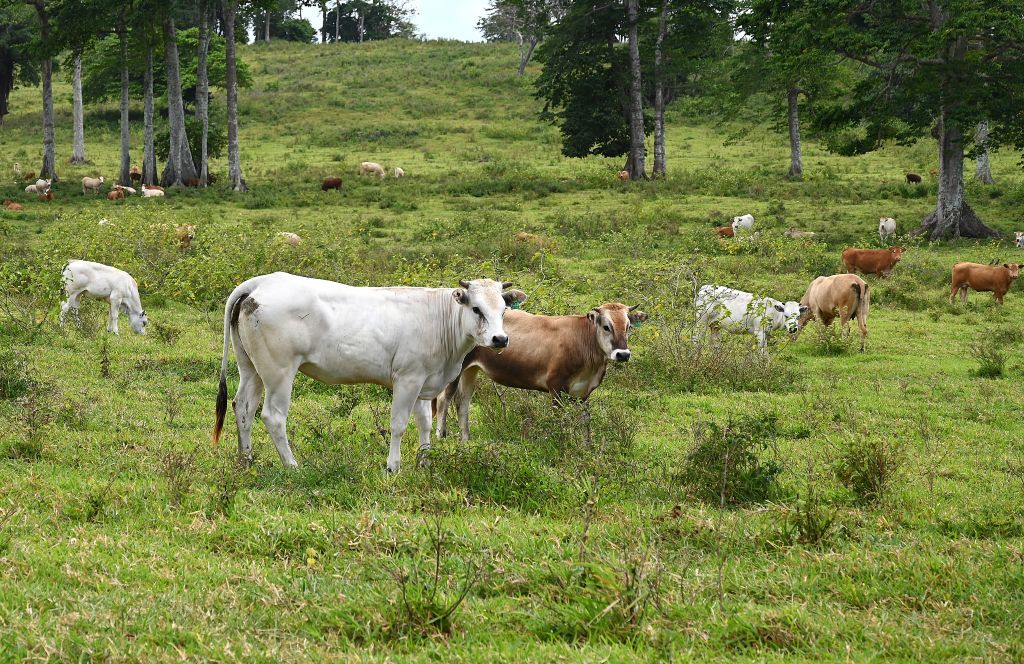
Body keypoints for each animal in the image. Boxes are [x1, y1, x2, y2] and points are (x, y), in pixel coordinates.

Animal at [212, 274, 526, 472]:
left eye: (504, 309)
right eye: (477, 308)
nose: (500, 339)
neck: (438, 320)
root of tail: (262, 281)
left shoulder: (424, 383)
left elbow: (425, 423)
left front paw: (424, 461)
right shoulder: (407, 380)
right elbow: (398, 425)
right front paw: (393, 466)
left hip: (250, 368)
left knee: (244, 408)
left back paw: (246, 459)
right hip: (279, 372)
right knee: (272, 416)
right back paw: (291, 465)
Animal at [434, 302, 645, 442]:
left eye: (628, 327)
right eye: (606, 326)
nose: (623, 354)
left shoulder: (584, 392)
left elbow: (586, 422)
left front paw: (588, 449)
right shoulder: (556, 387)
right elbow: (559, 421)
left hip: (471, 369)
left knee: (462, 402)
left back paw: (465, 441)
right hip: (455, 368)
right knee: (445, 399)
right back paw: (440, 437)